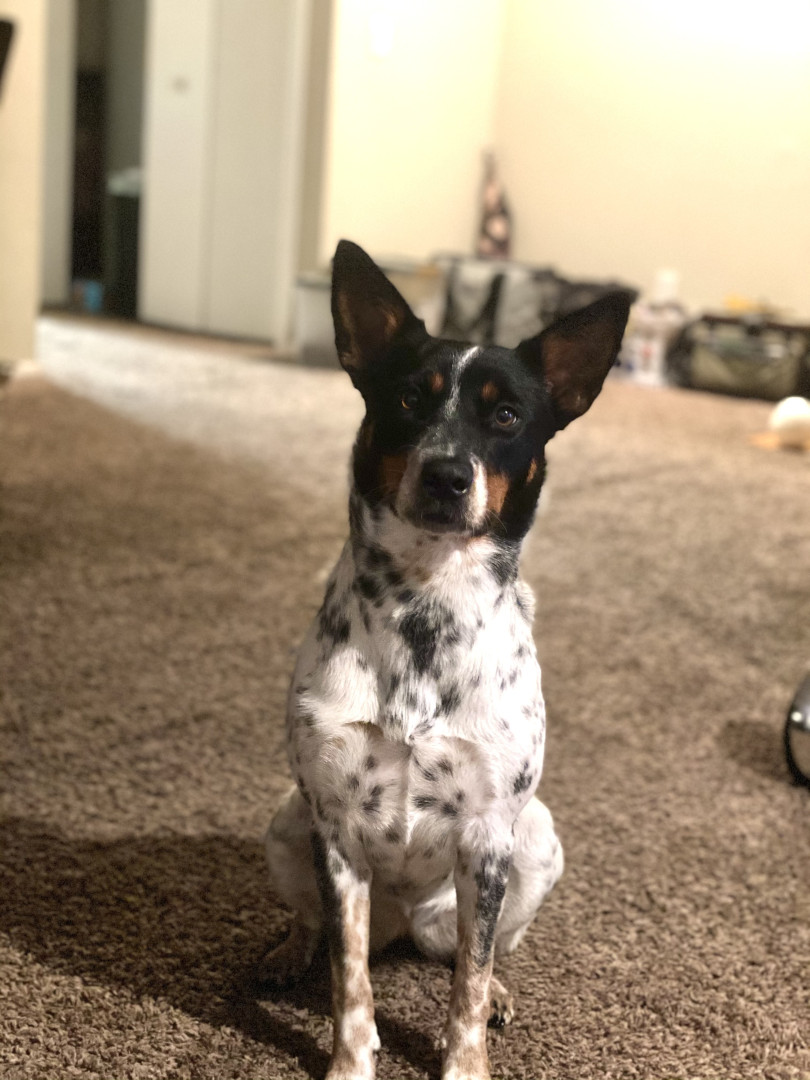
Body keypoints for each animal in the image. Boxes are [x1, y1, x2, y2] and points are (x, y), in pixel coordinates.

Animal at [260, 240, 631, 1080]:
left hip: (538, 843)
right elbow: (349, 978)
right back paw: (288, 953)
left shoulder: (491, 837)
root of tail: (405, 924)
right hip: (288, 822)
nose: (446, 475)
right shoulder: (335, 829)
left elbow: (470, 971)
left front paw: (466, 1059)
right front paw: (351, 1061)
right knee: (322, 930)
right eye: (407, 400)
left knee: (477, 953)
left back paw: (496, 995)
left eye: (507, 415)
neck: (425, 604)